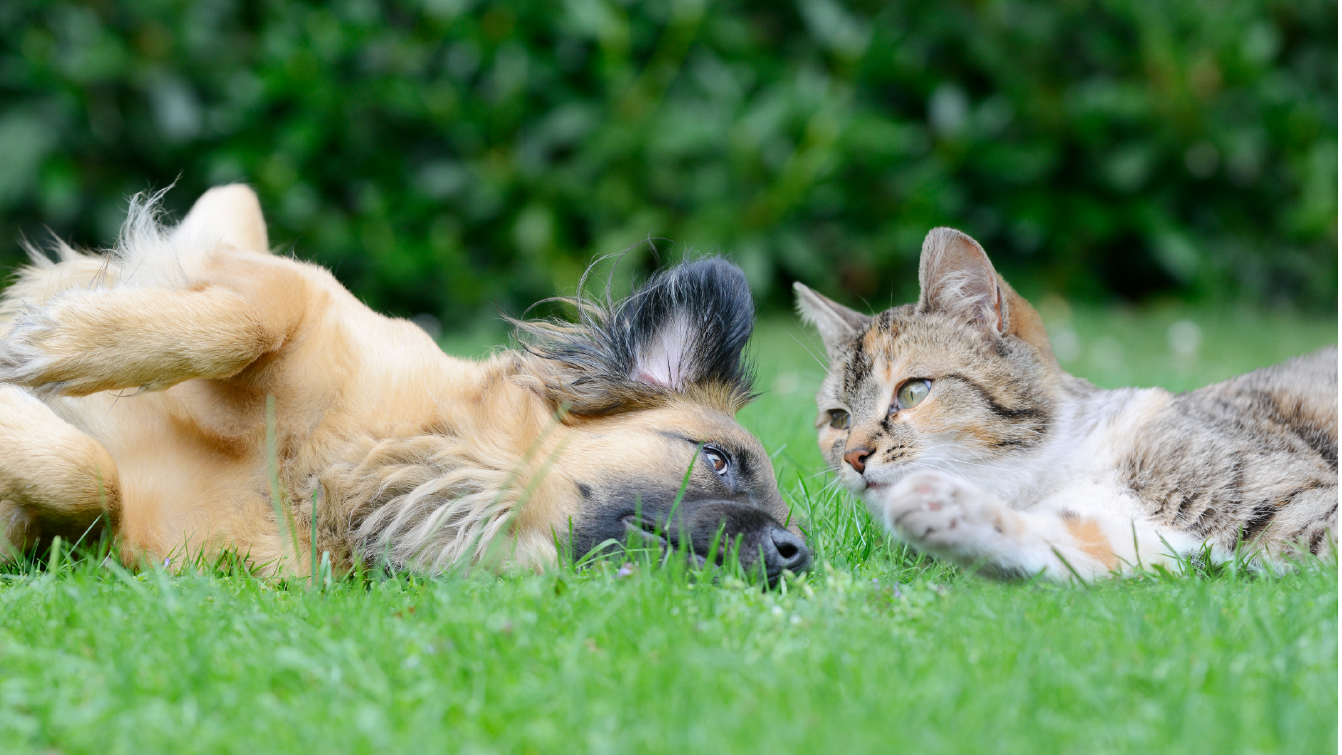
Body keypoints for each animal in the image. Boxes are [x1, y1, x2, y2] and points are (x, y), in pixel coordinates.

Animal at [0, 186, 805, 582]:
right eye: (717, 459)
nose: (798, 553)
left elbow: (92, 481)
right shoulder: (278, 285)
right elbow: (243, 320)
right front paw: (53, 341)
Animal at [794, 227, 1331, 582]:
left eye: (913, 391)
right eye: (838, 419)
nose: (853, 456)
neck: (1057, 469)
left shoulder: (1299, 502)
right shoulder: (1147, 540)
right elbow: (1077, 543)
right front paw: (954, 514)